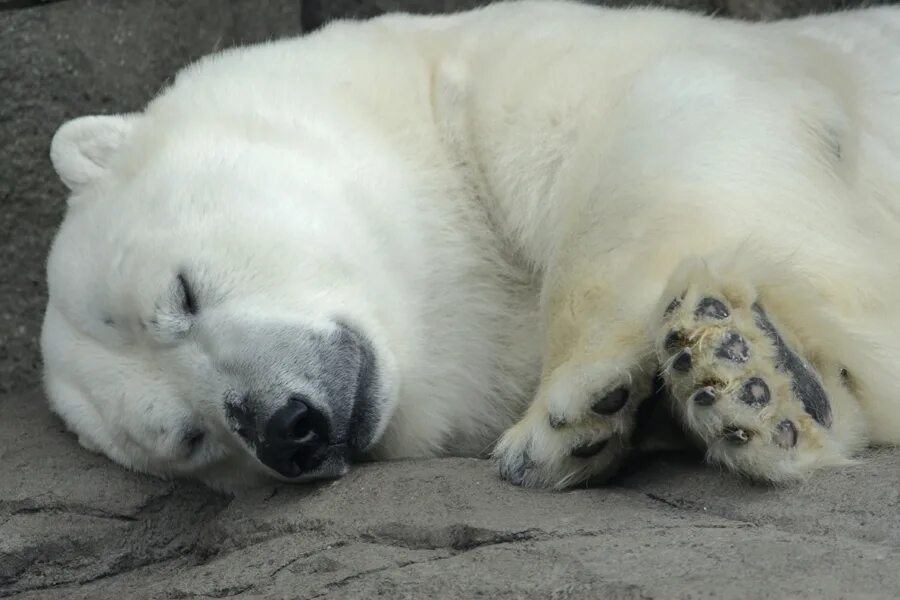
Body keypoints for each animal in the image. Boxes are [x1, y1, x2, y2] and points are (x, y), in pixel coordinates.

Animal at [44, 0, 900, 490]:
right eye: (189, 437)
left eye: (180, 294)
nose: (287, 429)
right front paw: (754, 383)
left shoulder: (510, 76)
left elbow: (669, 122)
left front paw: (571, 408)